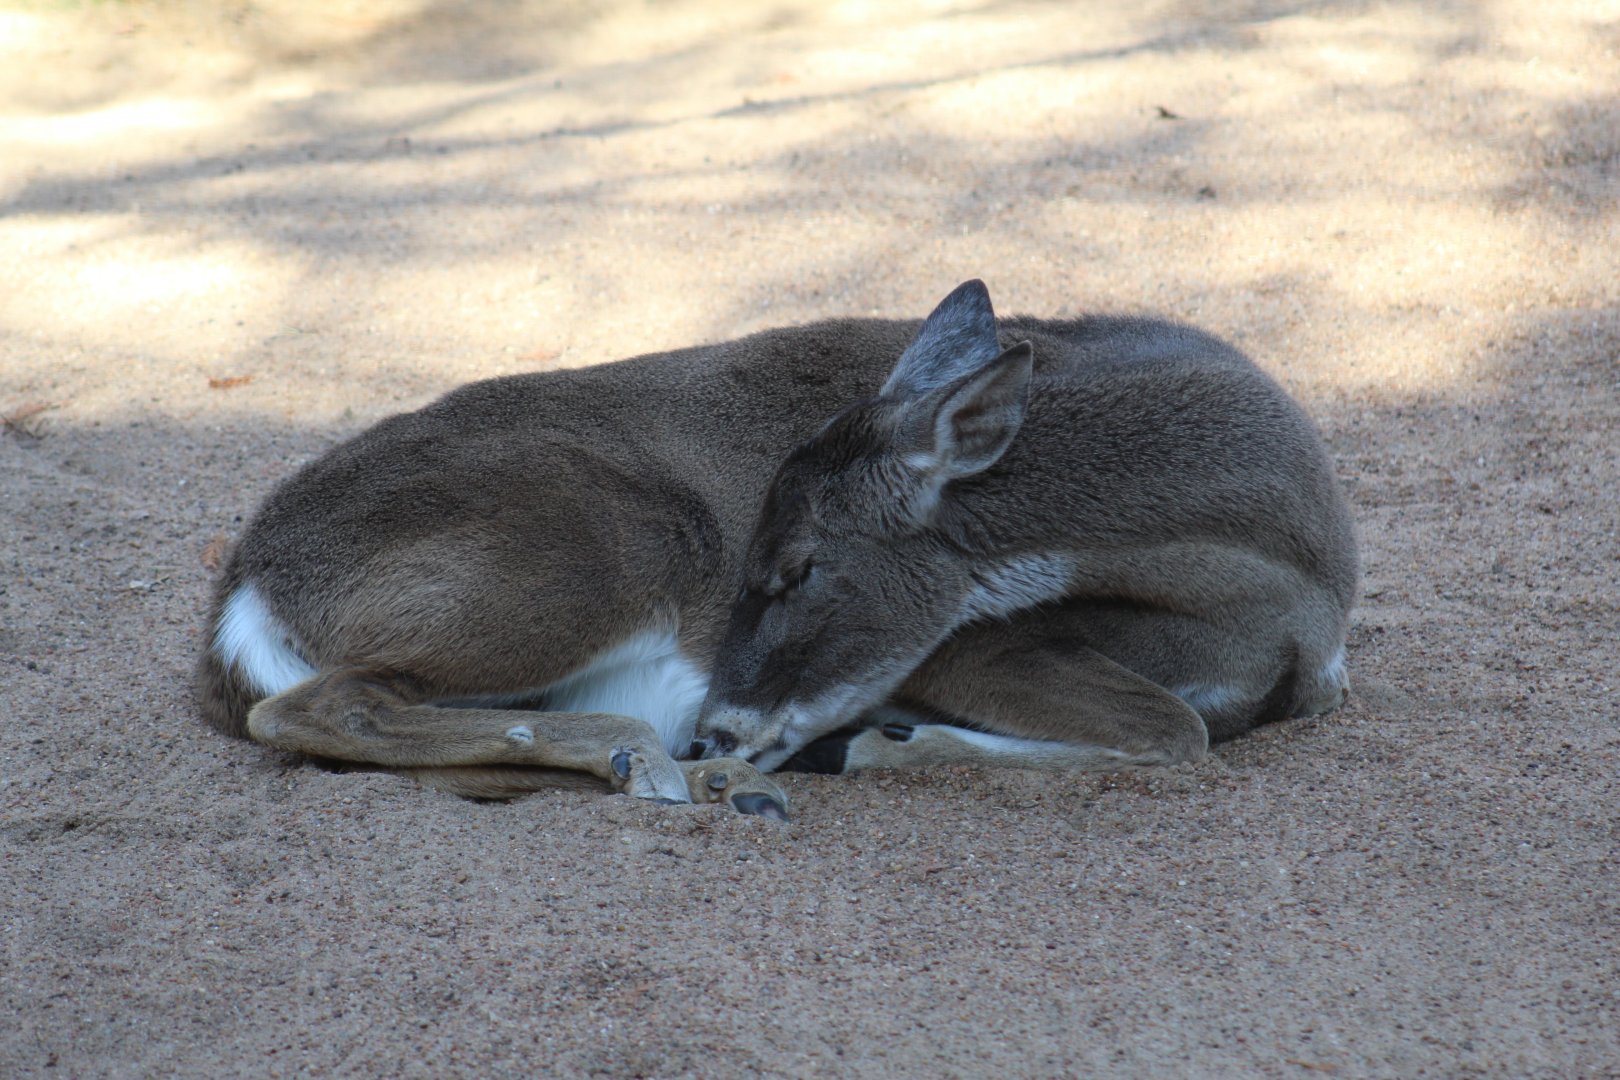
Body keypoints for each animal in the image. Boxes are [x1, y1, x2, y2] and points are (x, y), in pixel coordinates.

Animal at [197, 281, 1357, 821]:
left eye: (798, 566)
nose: (721, 725)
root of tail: (247, 584)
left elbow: (1183, 729)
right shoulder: (965, 643)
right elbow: (1172, 730)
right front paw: (888, 746)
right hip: (602, 549)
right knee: (313, 705)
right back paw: (657, 758)